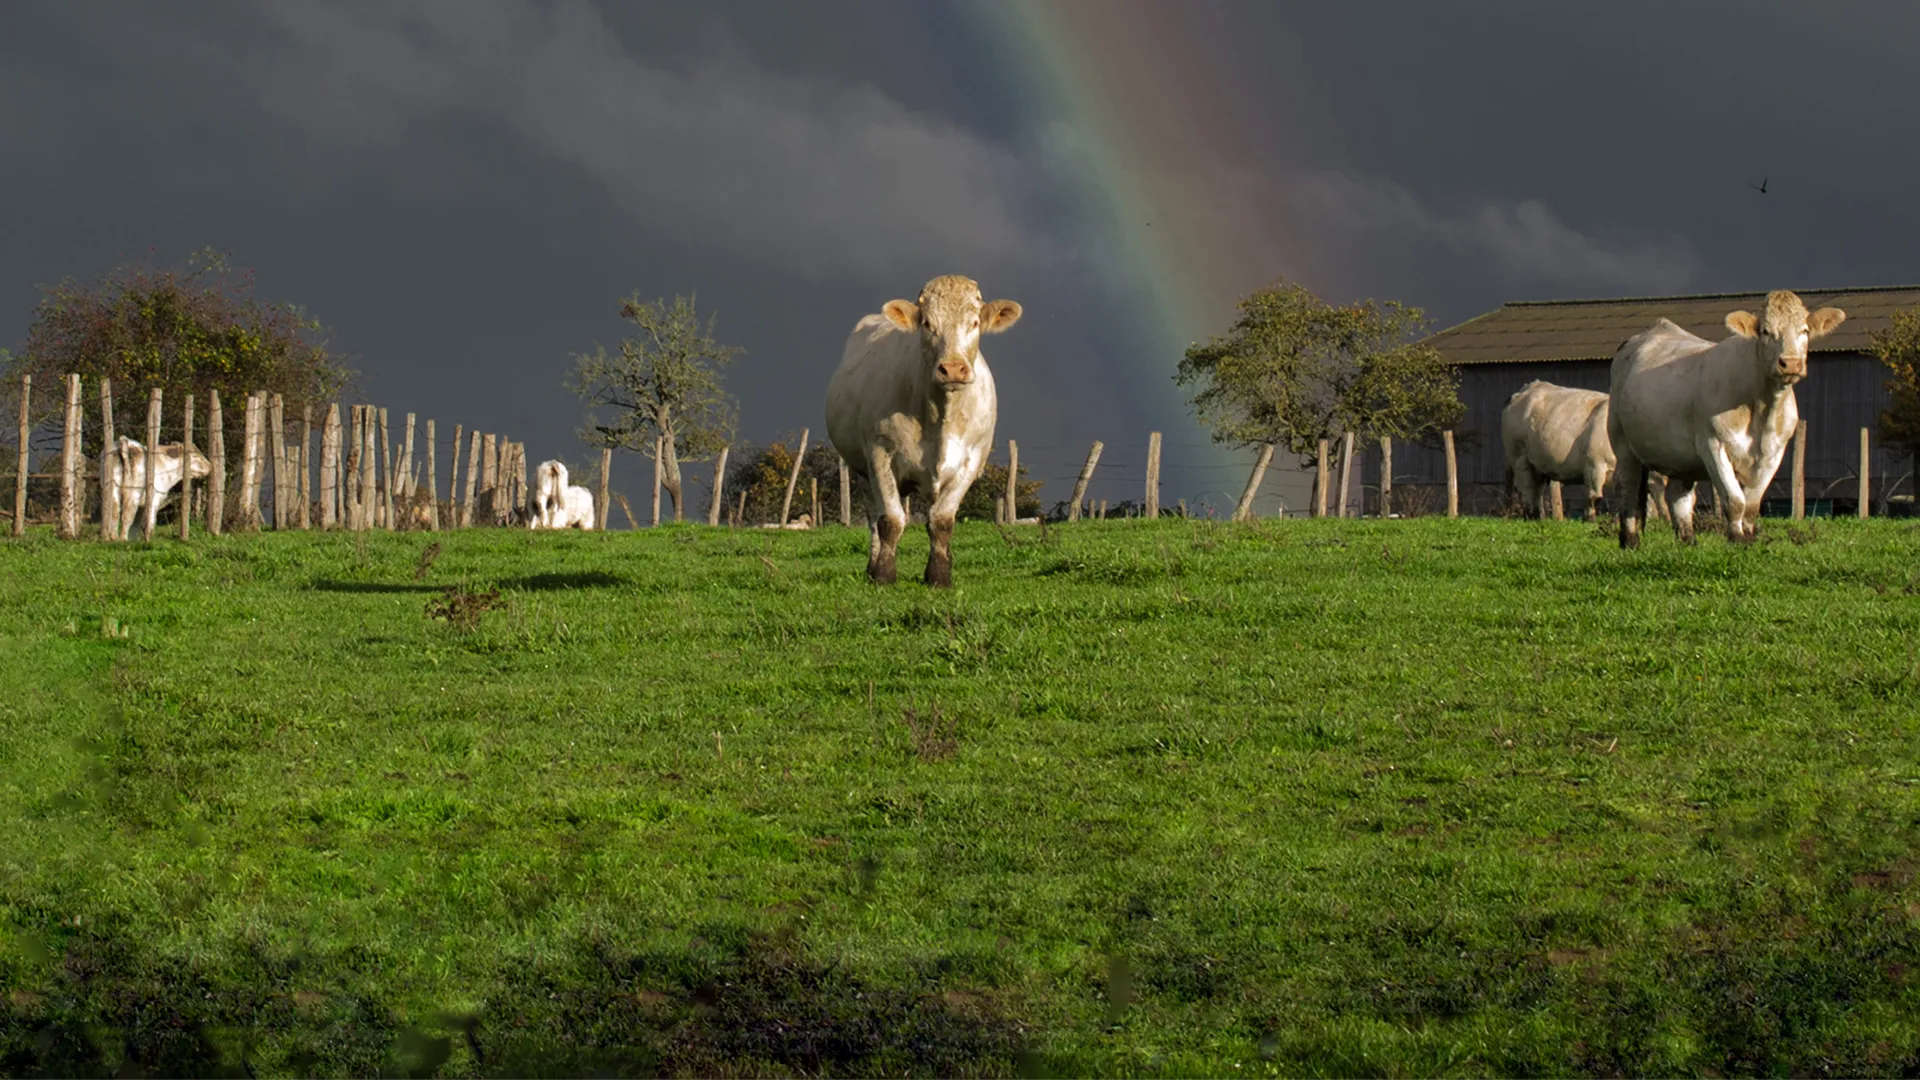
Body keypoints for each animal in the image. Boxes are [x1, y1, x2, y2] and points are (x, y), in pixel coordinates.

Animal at [825, 272, 1021, 584]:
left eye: (974, 322)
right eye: (928, 323)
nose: (953, 368)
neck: (941, 416)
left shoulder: (972, 460)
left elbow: (941, 520)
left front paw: (939, 575)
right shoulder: (879, 453)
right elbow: (891, 520)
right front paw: (884, 574)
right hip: (860, 469)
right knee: (873, 518)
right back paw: (872, 565)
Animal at [1605, 288, 1843, 545]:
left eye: (1805, 330)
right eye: (1765, 331)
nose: (1790, 363)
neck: (1762, 410)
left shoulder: (1774, 453)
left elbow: (1752, 504)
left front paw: (1749, 537)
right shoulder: (1713, 445)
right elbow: (1735, 500)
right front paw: (1737, 539)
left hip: (1680, 457)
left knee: (1679, 497)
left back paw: (1688, 540)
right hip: (1622, 442)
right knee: (1628, 488)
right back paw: (1630, 540)